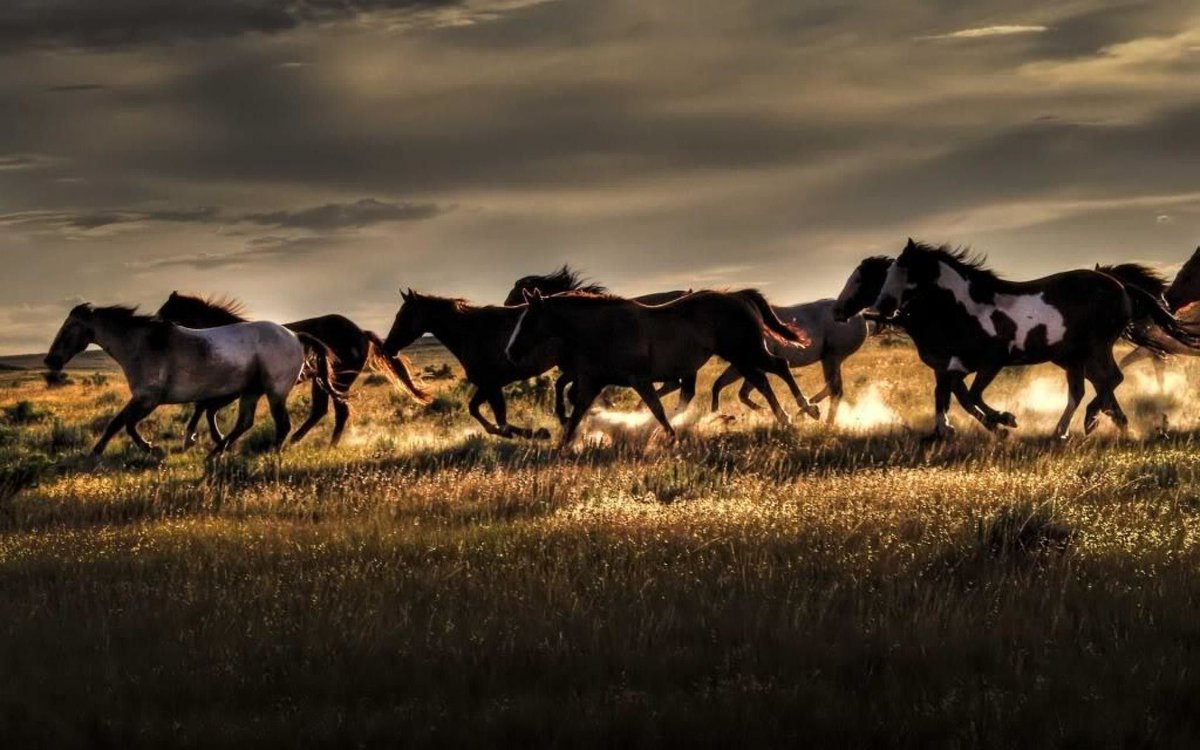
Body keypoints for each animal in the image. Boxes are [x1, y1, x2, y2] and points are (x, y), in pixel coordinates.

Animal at [153, 291, 427, 444]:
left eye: (166, 311)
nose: (154, 326)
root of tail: (361, 332)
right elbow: (205, 408)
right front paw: (209, 439)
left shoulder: (234, 391)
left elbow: (205, 408)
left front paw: (201, 438)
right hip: (323, 381)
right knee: (322, 411)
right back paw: (300, 441)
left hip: (337, 380)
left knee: (339, 411)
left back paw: (322, 444)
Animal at [381, 288, 554, 439]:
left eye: (403, 316)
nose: (387, 347)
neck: (471, 332)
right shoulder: (488, 386)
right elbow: (477, 410)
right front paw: (530, 432)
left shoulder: (491, 385)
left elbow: (498, 419)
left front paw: (536, 433)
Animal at [501, 289, 811, 444]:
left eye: (528, 320)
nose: (510, 352)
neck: (605, 330)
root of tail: (738, 296)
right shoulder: (592, 381)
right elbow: (576, 413)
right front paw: (561, 445)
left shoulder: (639, 380)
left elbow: (657, 409)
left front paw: (670, 437)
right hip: (741, 357)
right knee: (764, 379)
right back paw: (790, 415)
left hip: (744, 352)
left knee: (778, 368)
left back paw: (802, 411)